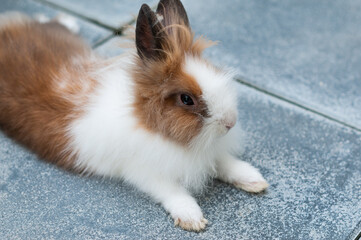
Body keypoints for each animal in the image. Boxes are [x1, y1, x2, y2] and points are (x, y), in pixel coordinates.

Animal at [0, 0, 268, 232]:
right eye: (186, 99)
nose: (230, 123)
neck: (150, 125)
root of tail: (7, 29)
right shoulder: (144, 171)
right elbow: (173, 191)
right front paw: (192, 219)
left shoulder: (208, 152)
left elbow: (225, 162)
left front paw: (254, 180)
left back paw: (67, 20)